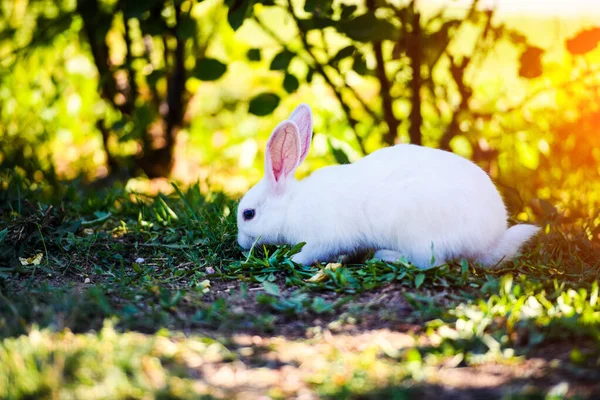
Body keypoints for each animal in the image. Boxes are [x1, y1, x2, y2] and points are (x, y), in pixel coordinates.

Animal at [237, 103, 540, 268]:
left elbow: (314, 251)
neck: (291, 206)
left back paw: (385, 255)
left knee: (430, 263)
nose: (241, 242)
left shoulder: (325, 237)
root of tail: (489, 242)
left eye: (248, 214)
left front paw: (295, 259)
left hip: (416, 234)